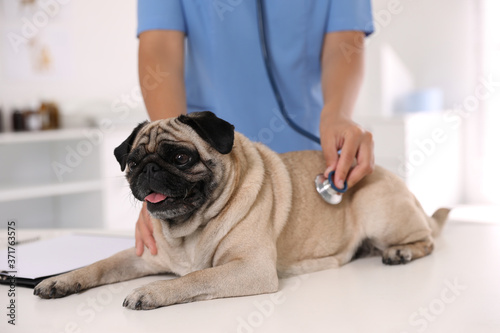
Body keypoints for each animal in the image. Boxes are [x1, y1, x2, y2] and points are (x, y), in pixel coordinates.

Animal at [34, 111, 450, 308]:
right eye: (133, 163)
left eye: (181, 158)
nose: (149, 169)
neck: (187, 230)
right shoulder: (142, 256)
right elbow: (99, 265)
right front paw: (62, 280)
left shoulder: (250, 268)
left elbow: (194, 278)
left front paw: (152, 292)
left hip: (376, 206)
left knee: (428, 239)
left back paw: (400, 252)